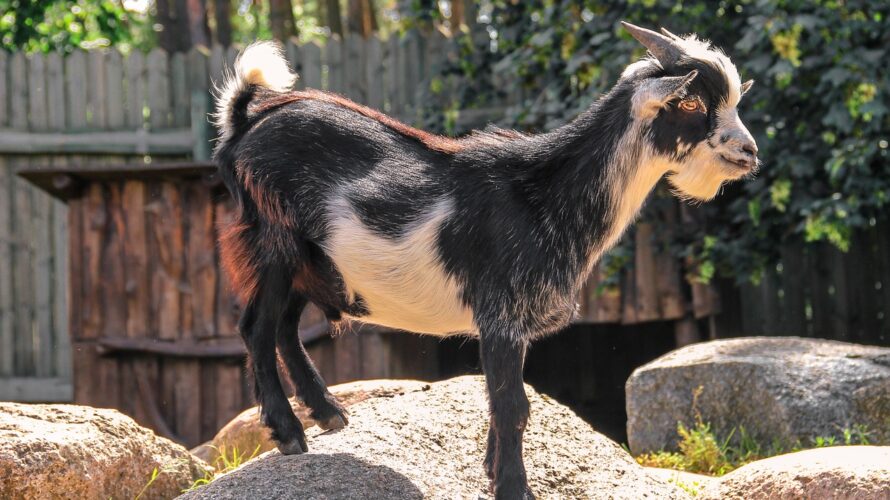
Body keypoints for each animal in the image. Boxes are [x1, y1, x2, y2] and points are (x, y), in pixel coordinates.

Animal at [210, 21, 756, 498]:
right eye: (691, 101)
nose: (749, 152)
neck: (544, 192)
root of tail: (244, 123)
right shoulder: (501, 315)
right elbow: (513, 406)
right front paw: (515, 489)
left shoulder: (512, 323)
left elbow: (501, 404)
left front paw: (495, 476)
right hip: (273, 243)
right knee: (257, 328)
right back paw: (289, 433)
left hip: (310, 261)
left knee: (285, 327)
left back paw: (328, 413)